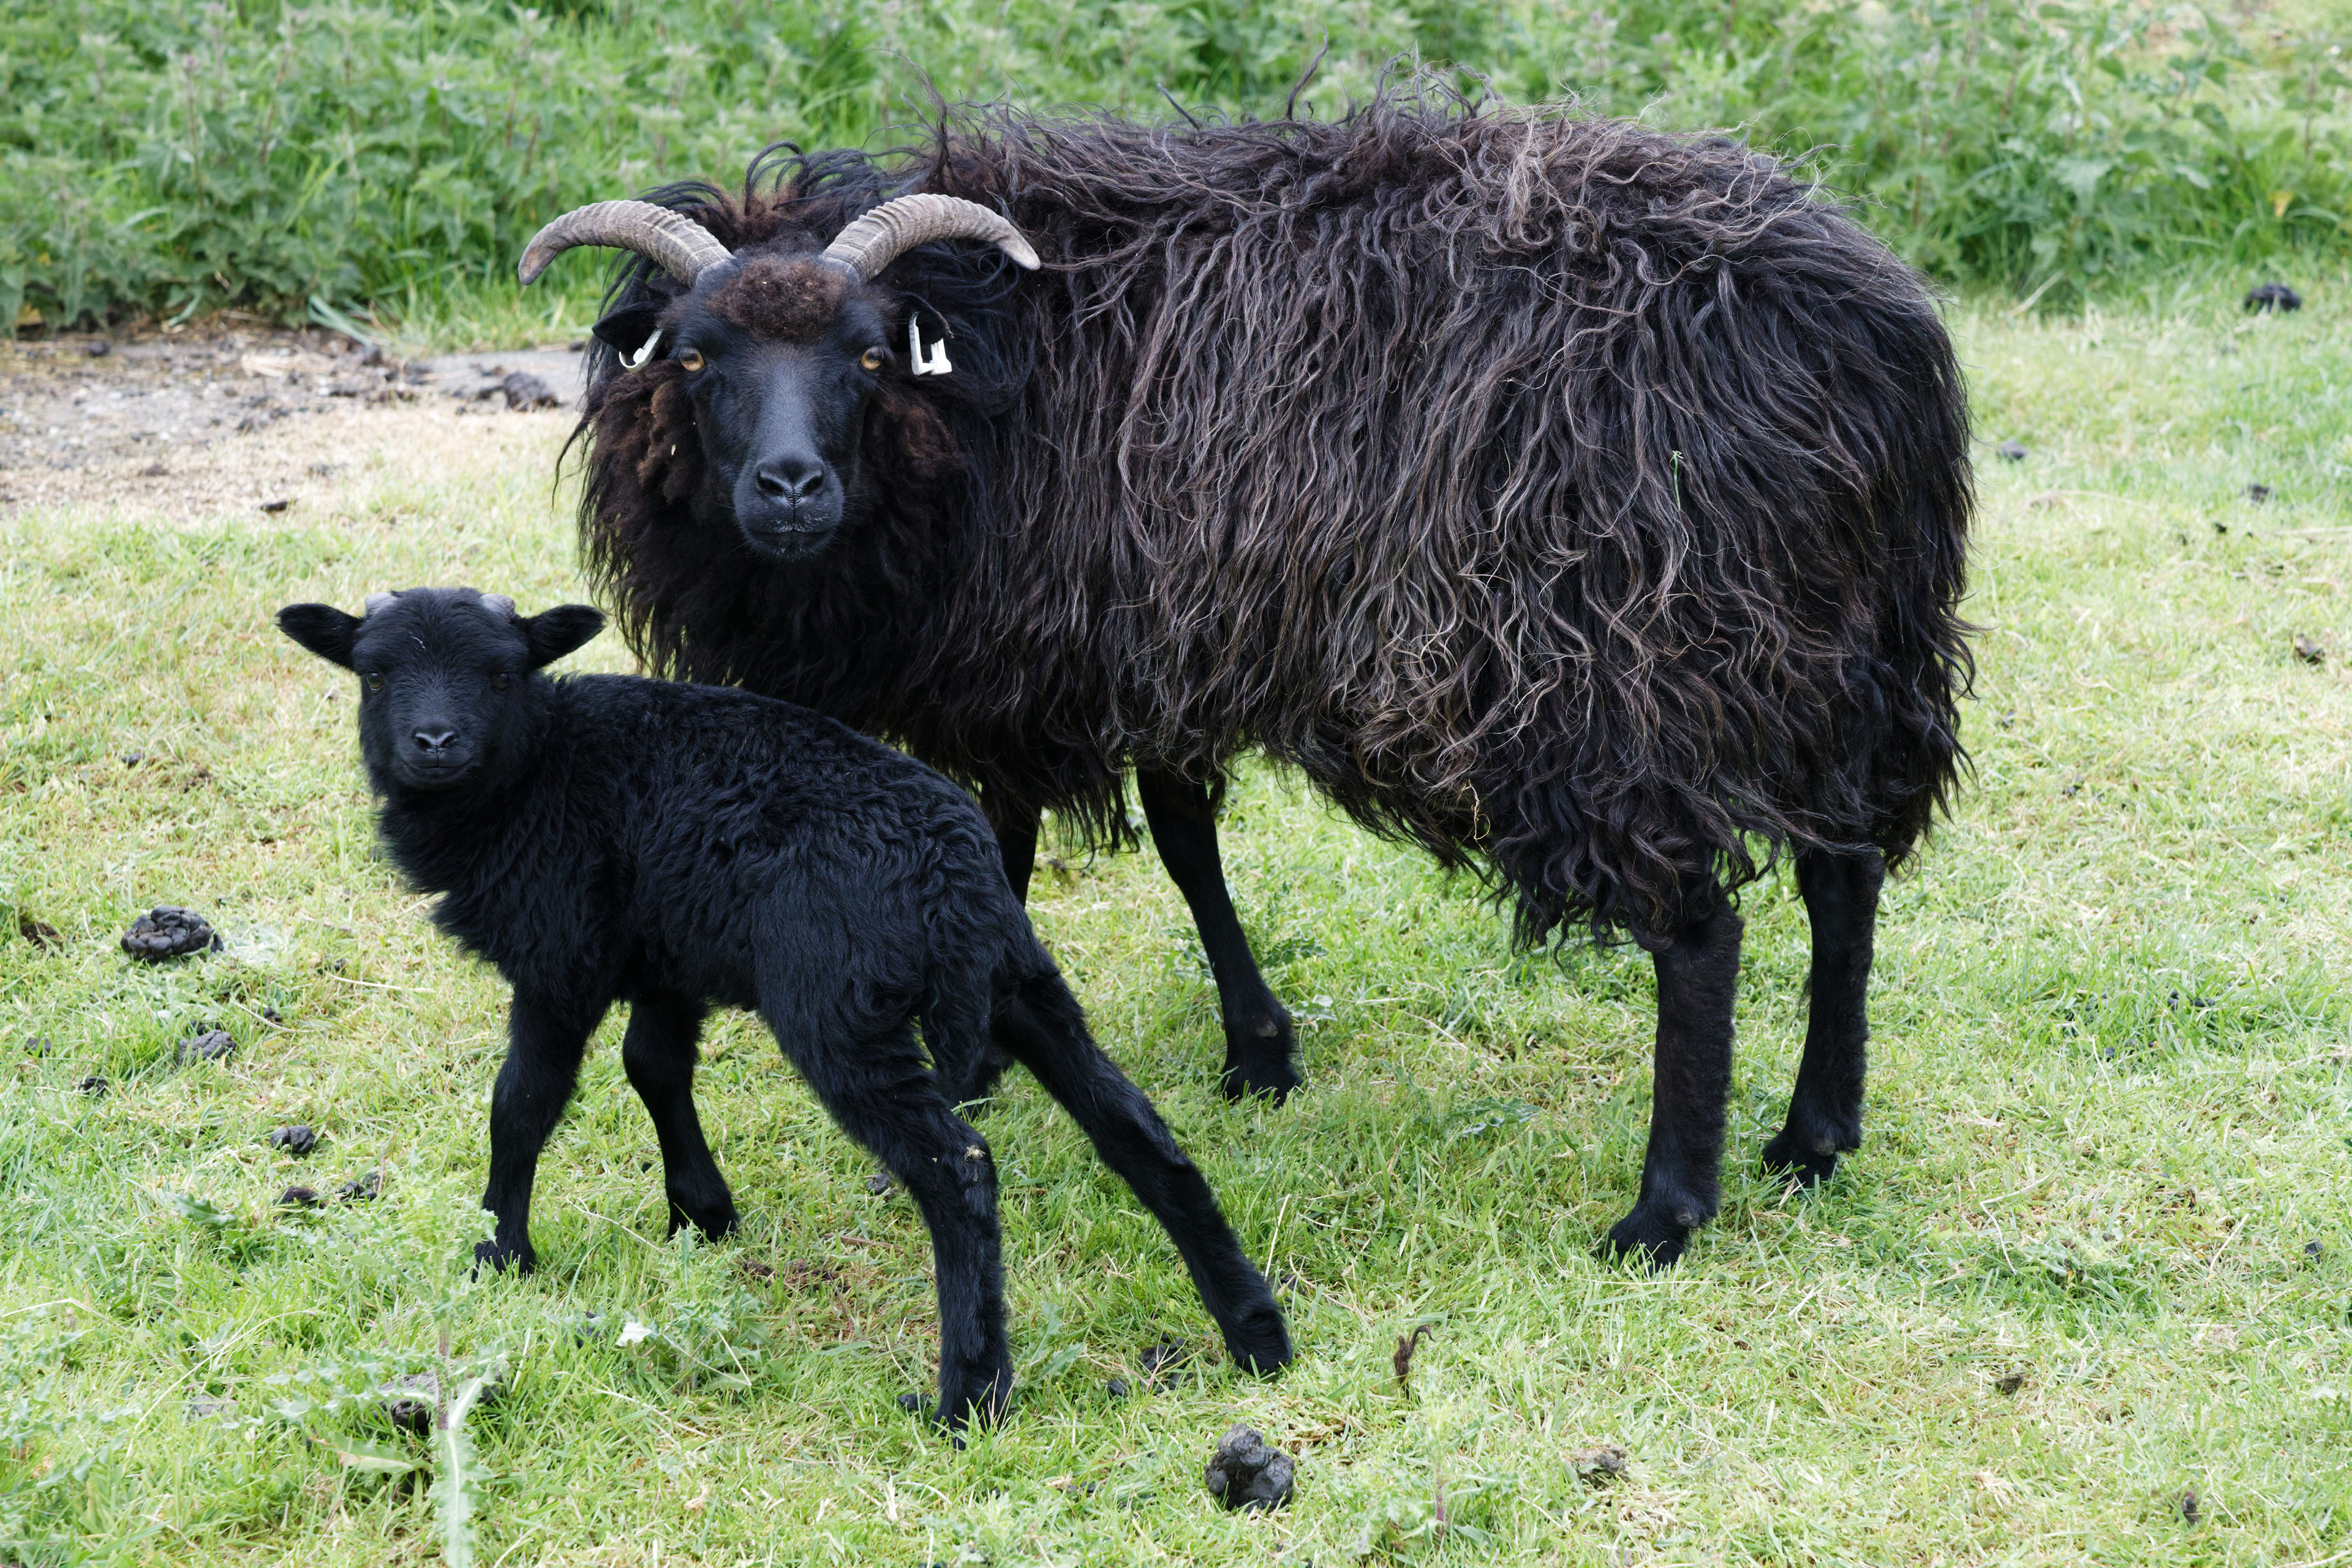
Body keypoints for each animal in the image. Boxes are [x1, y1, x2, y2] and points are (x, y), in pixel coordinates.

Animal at [274, 585, 1292, 1428]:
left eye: (500, 670)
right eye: (373, 673)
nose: (434, 743)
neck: (534, 774)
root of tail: (949, 878)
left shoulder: (565, 956)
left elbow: (521, 1104)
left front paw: (500, 1254)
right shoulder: (666, 952)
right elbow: (654, 1068)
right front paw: (701, 1215)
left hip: (839, 1009)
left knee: (957, 1172)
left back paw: (967, 1398)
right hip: (1019, 982)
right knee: (1137, 1134)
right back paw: (1255, 1335)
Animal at [516, 86, 1975, 1269]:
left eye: (870, 355)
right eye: (693, 355)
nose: (790, 488)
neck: (988, 385)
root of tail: (1868, 343)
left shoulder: (1024, 662)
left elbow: (1013, 843)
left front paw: (976, 1060)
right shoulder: (1145, 636)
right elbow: (1178, 837)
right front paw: (1256, 1049)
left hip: (1618, 675)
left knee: (1700, 933)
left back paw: (1666, 1210)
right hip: (1835, 656)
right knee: (1846, 874)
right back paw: (1814, 1136)